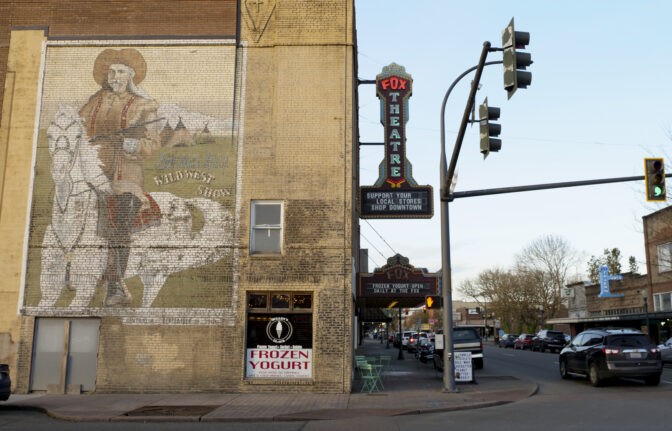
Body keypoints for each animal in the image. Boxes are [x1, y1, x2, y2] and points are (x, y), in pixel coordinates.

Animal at [40, 106, 234, 308]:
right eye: (49, 135)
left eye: (77, 135)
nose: (60, 169)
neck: (69, 227)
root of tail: (181, 201)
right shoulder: (49, 290)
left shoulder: (85, 289)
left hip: (157, 275)